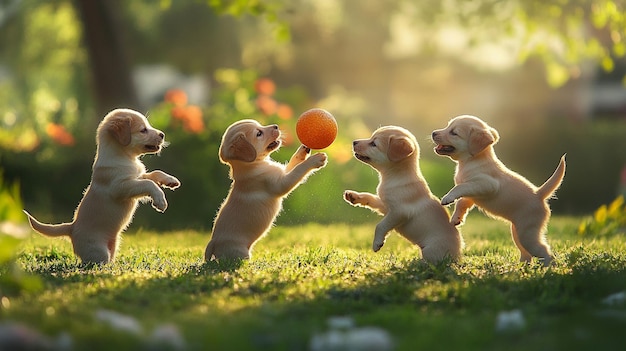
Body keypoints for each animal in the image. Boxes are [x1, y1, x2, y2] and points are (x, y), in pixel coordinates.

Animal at [24, 108, 179, 266]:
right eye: (143, 130)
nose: (162, 134)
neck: (123, 156)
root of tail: (72, 227)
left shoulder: (137, 177)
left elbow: (154, 174)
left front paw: (171, 181)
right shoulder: (120, 187)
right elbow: (149, 183)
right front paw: (160, 201)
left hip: (113, 245)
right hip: (98, 251)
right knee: (92, 262)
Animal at [342, 126, 464, 264]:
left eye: (374, 144)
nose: (354, 142)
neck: (394, 177)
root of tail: (459, 254)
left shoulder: (399, 212)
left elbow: (380, 225)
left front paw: (377, 243)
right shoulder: (385, 206)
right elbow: (370, 198)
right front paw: (354, 196)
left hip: (431, 250)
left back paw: (418, 263)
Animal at [432, 115, 564, 266]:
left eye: (454, 132)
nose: (433, 133)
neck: (471, 161)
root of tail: (539, 194)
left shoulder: (486, 184)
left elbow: (459, 187)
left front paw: (447, 198)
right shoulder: (472, 195)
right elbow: (462, 202)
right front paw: (456, 218)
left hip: (528, 234)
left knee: (545, 252)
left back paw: (548, 267)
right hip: (518, 232)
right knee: (527, 254)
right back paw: (520, 267)